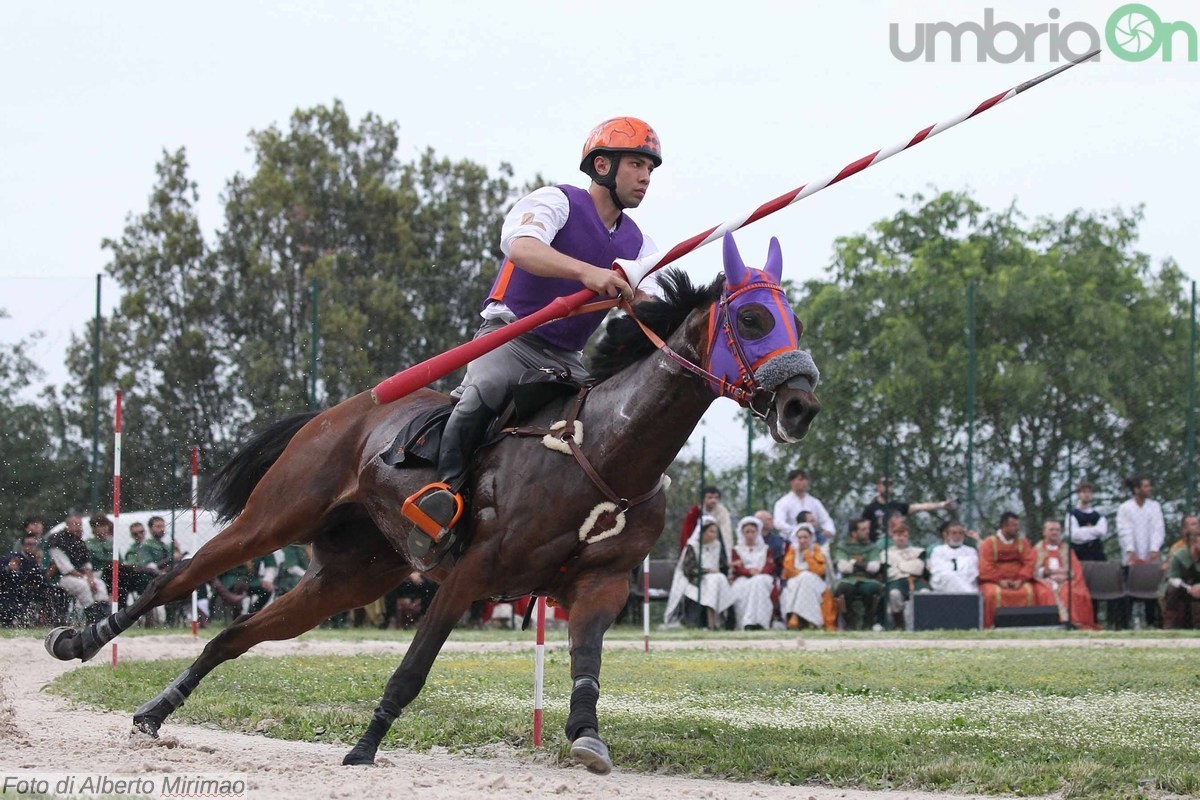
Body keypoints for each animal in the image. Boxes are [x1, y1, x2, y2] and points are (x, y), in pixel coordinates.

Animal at [44, 232, 816, 777]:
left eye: (794, 320)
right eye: (752, 318)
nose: (801, 403)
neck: (601, 446)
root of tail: (335, 414)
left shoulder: (599, 586)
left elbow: (587, 669)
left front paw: (585, 738)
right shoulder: (470, 574)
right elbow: (413, 668)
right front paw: (364, 746)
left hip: (346, 579)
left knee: (232, 636)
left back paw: (155, 711)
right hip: (273, 519)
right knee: (175, 580)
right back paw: (82, 640)